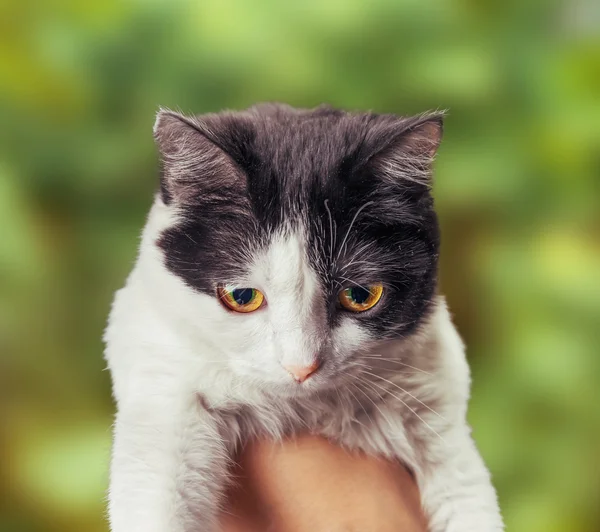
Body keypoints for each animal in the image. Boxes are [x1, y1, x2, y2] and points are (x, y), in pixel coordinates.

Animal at [105, 104, 504, 532]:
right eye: (242, 297)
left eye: (360, 296)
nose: (301, 367)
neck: (303, 411)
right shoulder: (163, 375)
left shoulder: (436, 402)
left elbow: (465, 493)